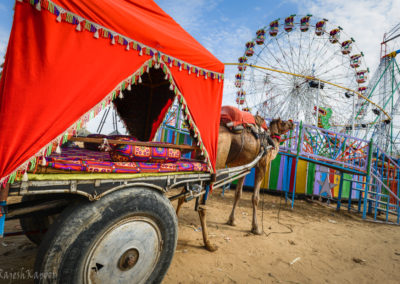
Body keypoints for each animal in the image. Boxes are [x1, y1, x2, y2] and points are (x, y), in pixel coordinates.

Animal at [175, 113, 294, 251]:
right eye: (284, 123)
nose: (292, 123)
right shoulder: (262, 165)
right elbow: (255, 198)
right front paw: (256, 228)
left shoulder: (245, 166)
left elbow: (238, 193)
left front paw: (231, 221)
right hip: (216, 164)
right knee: (201, 205)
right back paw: (209, 243)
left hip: (199, 160)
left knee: (183, 195)